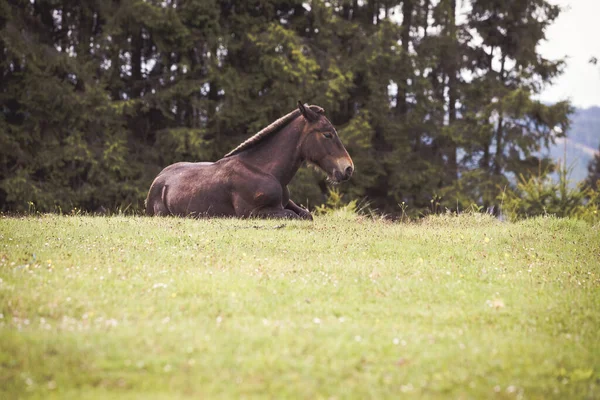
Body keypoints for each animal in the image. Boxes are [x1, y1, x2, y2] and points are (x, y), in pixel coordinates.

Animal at [145, 100, 352, 219]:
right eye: (327, 134)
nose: (348, 168)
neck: (264, 170)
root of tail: (159, 179)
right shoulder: (253, 213)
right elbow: (292, 216)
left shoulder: (285, 203)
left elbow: (307, 215)